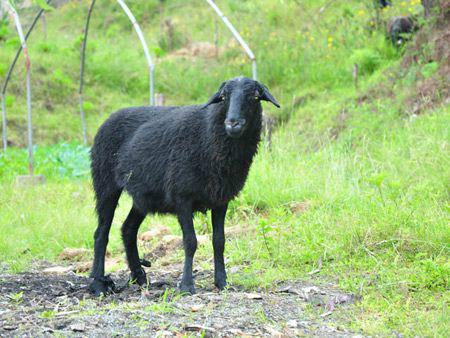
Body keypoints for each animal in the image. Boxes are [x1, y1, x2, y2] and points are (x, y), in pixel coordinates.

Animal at [89, 77, 280, 296]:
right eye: (223, 97)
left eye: (255, 96)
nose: (233, 123)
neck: (208, 137)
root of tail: (110, 117)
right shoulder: (182, 197)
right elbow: (190, 241)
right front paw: (187, 285)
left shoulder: (221, 200)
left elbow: (219, 241)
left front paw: (222, 282)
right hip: (105, 182)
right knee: (101, 233)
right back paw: (98, 284)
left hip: (144, 195)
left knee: (128, 229)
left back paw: (139, 277)